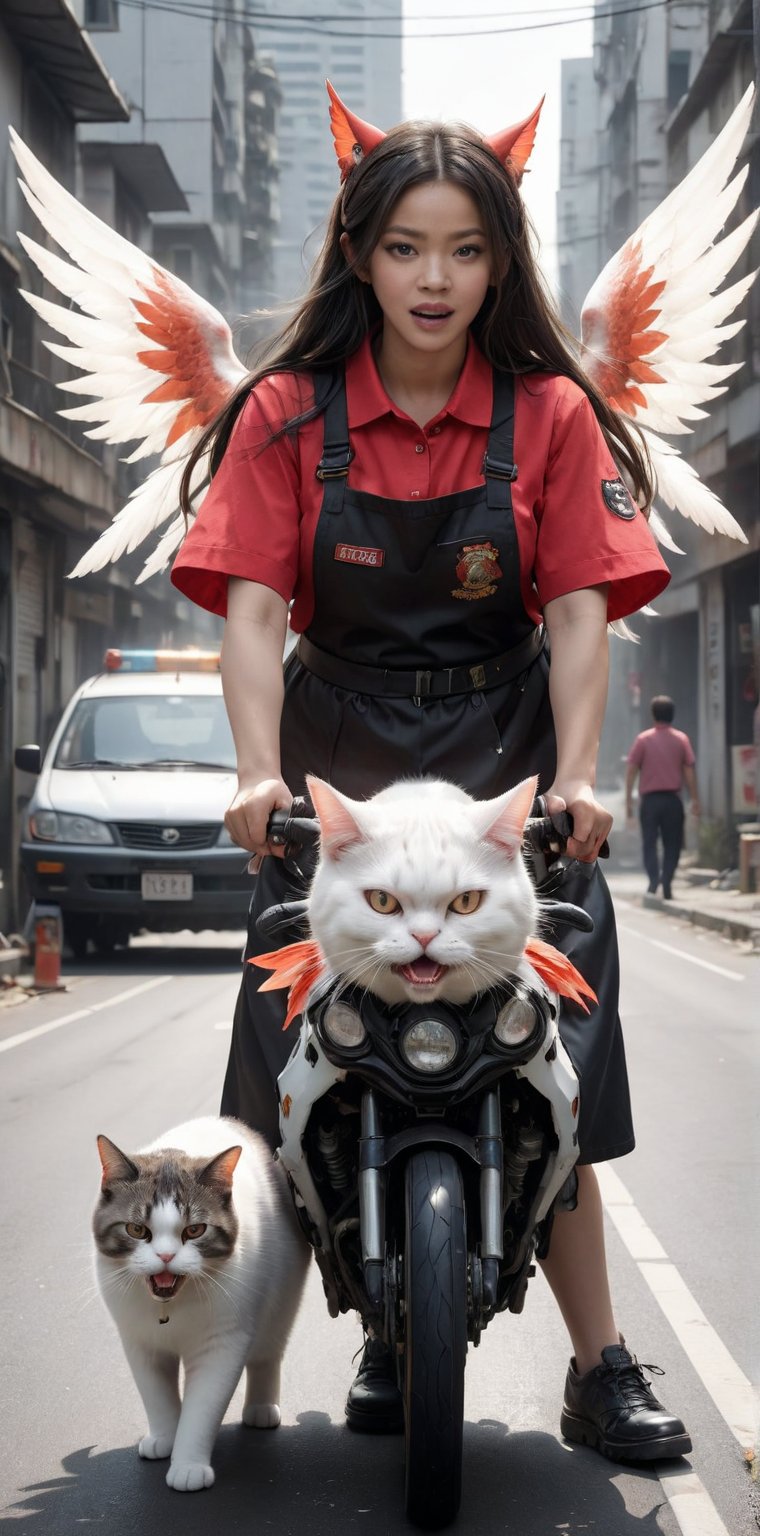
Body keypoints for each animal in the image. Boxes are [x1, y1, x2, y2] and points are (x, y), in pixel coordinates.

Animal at [92, 1118, 310, 1486]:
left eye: (195, 1231)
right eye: (136, 1229)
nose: (166, 1256)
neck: (169, 1306)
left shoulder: (220, 1345)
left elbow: (202, 1408)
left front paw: (188, 1465)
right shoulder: (140, 1344)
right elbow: (157, 1397)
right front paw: (166, 1436)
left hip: (282, 1300)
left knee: (267, 1352)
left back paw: (261, 1408)